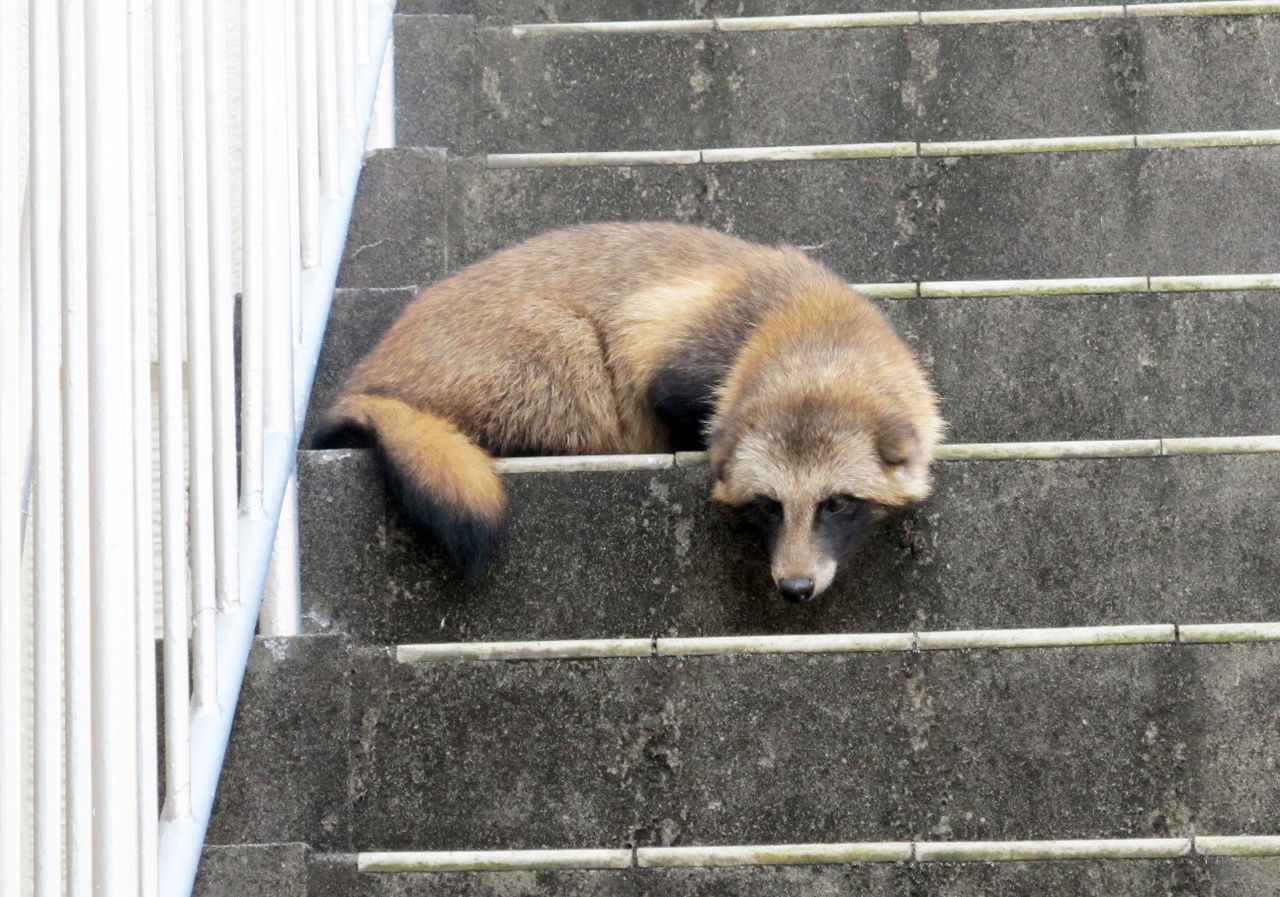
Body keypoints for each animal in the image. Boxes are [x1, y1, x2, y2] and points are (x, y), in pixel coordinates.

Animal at [314, 222, 947, 601]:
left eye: (836, 504)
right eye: (768, 506)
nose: (794, 587)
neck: (814, 332)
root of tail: (369, 382)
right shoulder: (670, 336)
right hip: (556, 352)